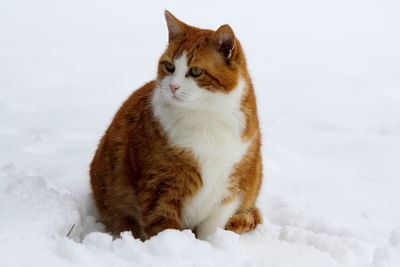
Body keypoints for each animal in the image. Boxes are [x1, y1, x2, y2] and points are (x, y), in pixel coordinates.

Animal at [91, 9, 264, 241]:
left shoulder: (232, 182)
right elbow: (162, 223)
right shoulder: (161, 183)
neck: (204, 116)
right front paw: (172, 244)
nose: (173, 87)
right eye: (169, 66)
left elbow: (212, 227)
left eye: (196, 71)